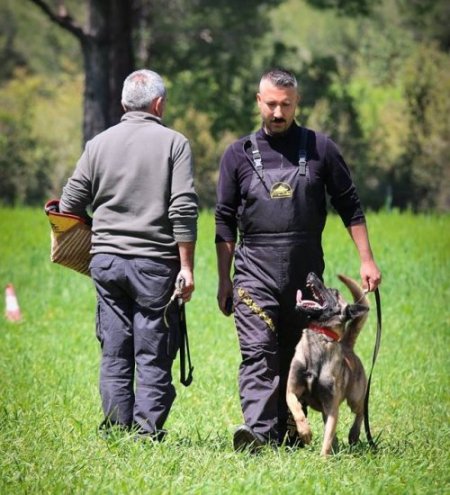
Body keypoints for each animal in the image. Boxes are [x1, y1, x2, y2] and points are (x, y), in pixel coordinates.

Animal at [286, 272, 370, 458]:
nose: (311, 273)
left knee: (361, 411)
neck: (320, 335)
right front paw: (305, 432)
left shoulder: (332, 407)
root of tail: (347, 346)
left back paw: (354, 434)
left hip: (354, 398)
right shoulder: (291, 391)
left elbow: (327, 438)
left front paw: (323, 460)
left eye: (334, 291)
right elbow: (297, 411)